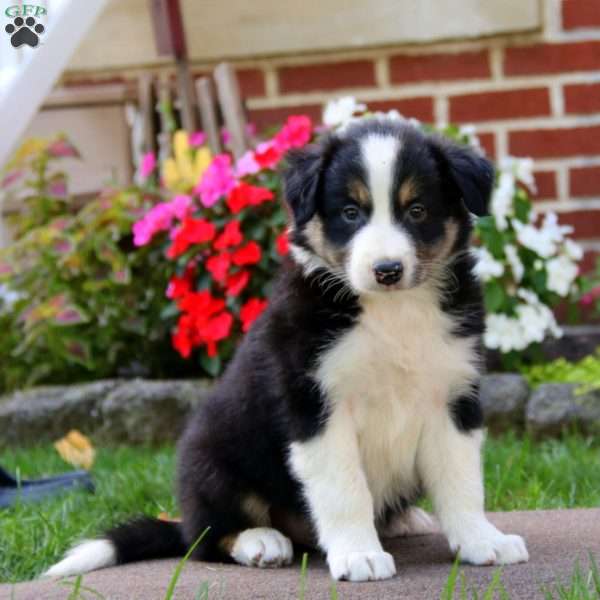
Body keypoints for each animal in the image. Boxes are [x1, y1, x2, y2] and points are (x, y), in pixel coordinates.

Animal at [45, 118, 528, 580]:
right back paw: (261, 541)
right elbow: (344, 489)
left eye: (417, 210)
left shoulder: (453, 395)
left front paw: (484, 542)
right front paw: (360, 556)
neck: (393, 313)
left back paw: (405, 520)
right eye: (350, 212)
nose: (387, 270)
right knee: (205, 538)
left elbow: (462, 482)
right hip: (212, 457)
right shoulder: (314, 403)